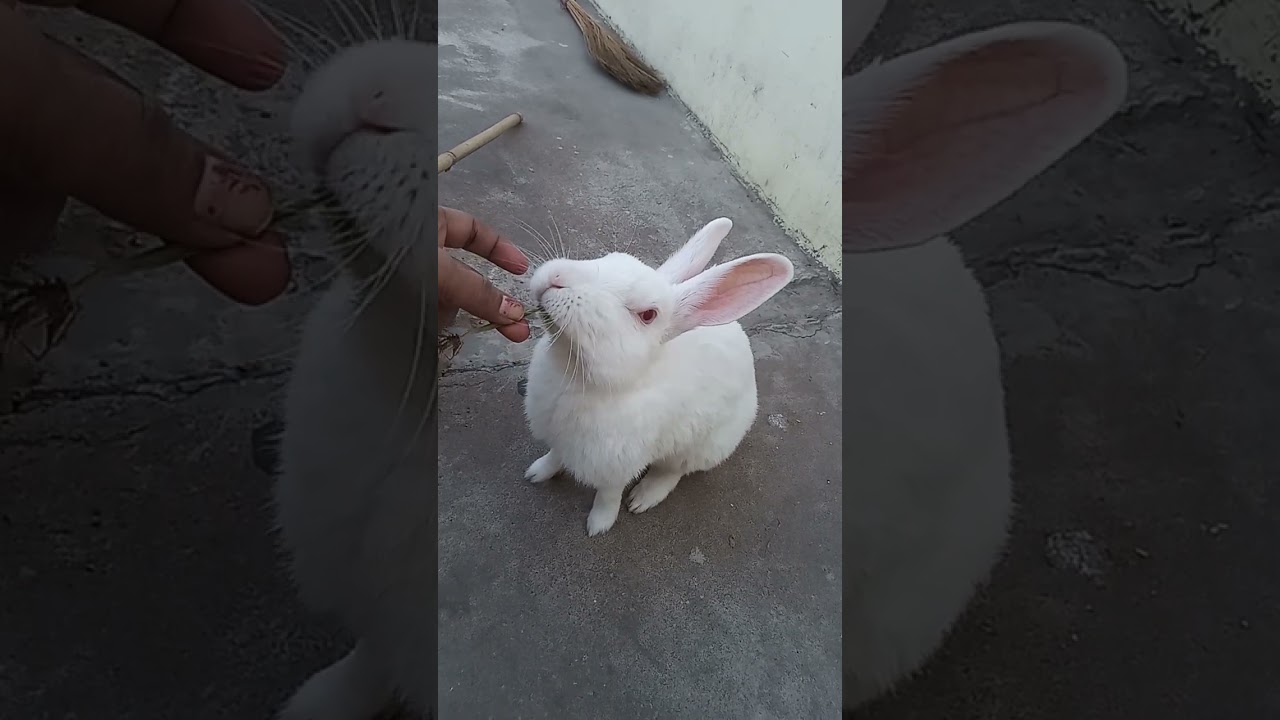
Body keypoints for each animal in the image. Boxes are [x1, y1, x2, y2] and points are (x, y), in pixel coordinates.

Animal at [522, 220, 796, 536]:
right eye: (610, 257)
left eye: (648, 315)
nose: (556, 278)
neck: (575, 377)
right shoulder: (557, 437)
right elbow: (553, 457)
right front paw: (536, 473)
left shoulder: (617, 464)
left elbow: (608, 495)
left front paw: (599, 525)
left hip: (700, 447)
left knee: (674, 471)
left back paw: (643, 498)